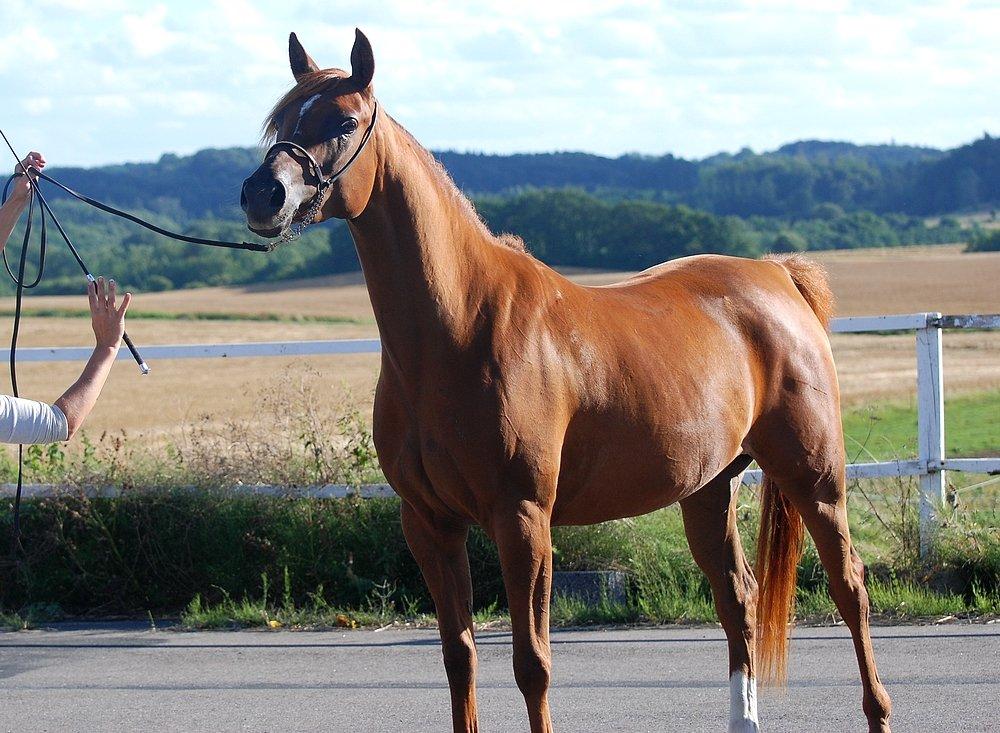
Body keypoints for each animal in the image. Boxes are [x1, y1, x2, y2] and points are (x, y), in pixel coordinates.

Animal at [240, 30, 892, 732]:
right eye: (281, 122)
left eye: (344, 121)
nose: (261, 195)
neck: (461, 326)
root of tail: (777, 277)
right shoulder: (430, 524)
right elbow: (459, 658)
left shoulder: (523, 519)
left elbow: (533, 663)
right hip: (708, 489)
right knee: (738, 599)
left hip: (814, 479)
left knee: (850, 588)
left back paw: (878, 710)